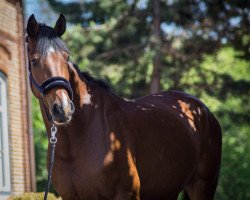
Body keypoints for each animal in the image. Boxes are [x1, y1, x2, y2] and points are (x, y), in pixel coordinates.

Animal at [25, 14, 221, 200]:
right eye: (34, 61)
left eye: (66, 57)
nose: (63, 108)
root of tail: (202, 110)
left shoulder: (127, 193)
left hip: (202, 187)